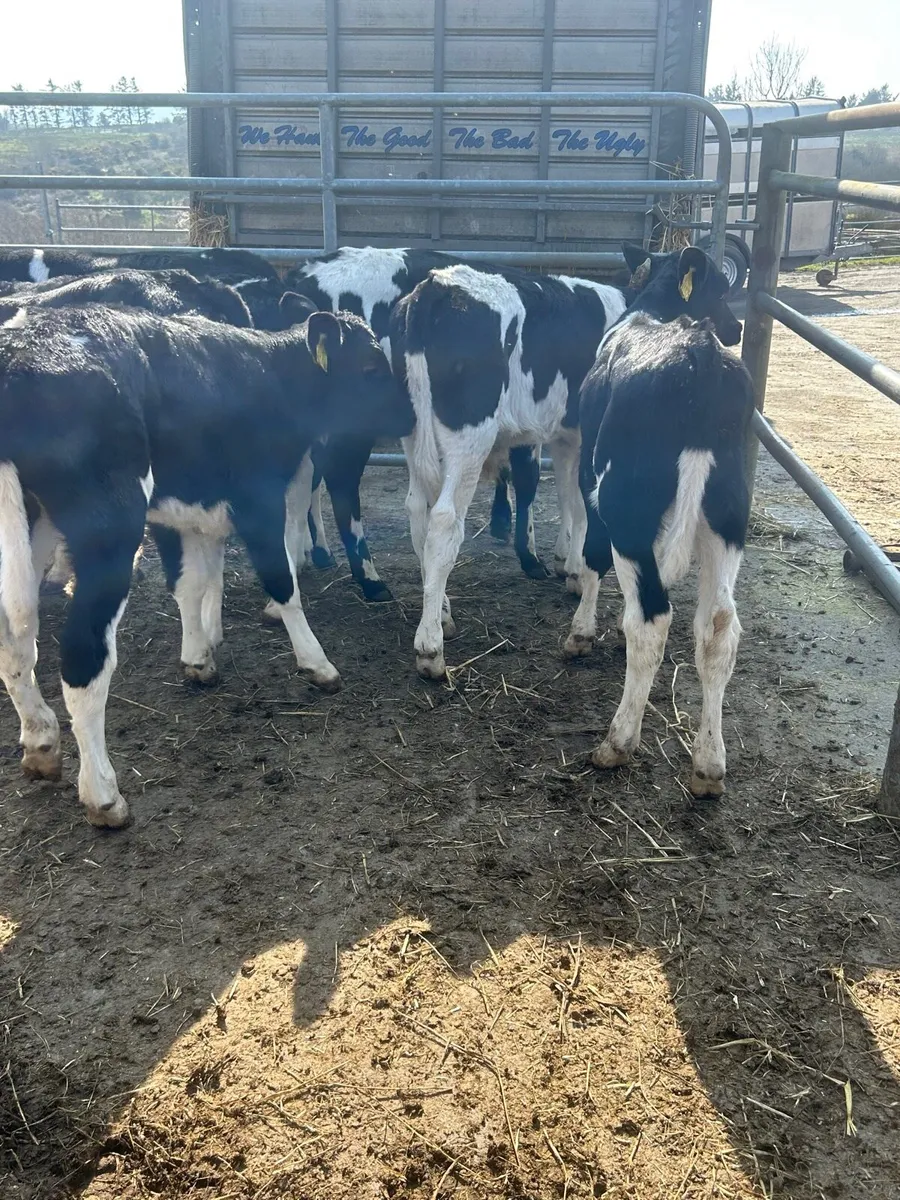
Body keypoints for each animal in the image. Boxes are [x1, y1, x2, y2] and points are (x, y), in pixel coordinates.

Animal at [0, 302, 411, 828]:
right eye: (370, 366)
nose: (409, 414)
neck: (271, 377)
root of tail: (20, 354)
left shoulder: (186, 512)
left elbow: (191, 584)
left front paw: (198, 657)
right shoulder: (256, 497)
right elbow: (282, 580)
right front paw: (317, 663)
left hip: (33, 525)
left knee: (14, 643)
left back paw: (41, 742)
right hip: (109, 526)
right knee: (82, 655)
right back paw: (103, 795)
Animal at [389, 262, 627, 679]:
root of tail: (435, 286)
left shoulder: (567, 436)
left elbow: (568, 497)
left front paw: (567, 564)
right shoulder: (588, 437)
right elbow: (584, 509)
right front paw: (578, 575)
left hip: (413, 435)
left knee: (418, 514)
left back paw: (442, 613)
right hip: (471, 436)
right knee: (444, 522)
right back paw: (430, 648)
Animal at [565, 243, 750, 797]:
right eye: (720, 289)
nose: (737, 327)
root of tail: (700, 357)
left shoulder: (589, 478)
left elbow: (591, 557)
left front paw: (580, 632)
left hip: (626, 505)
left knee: (651, 618)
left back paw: (618, 742)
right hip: (729, 515)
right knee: (718, 626)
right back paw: (709, 764)